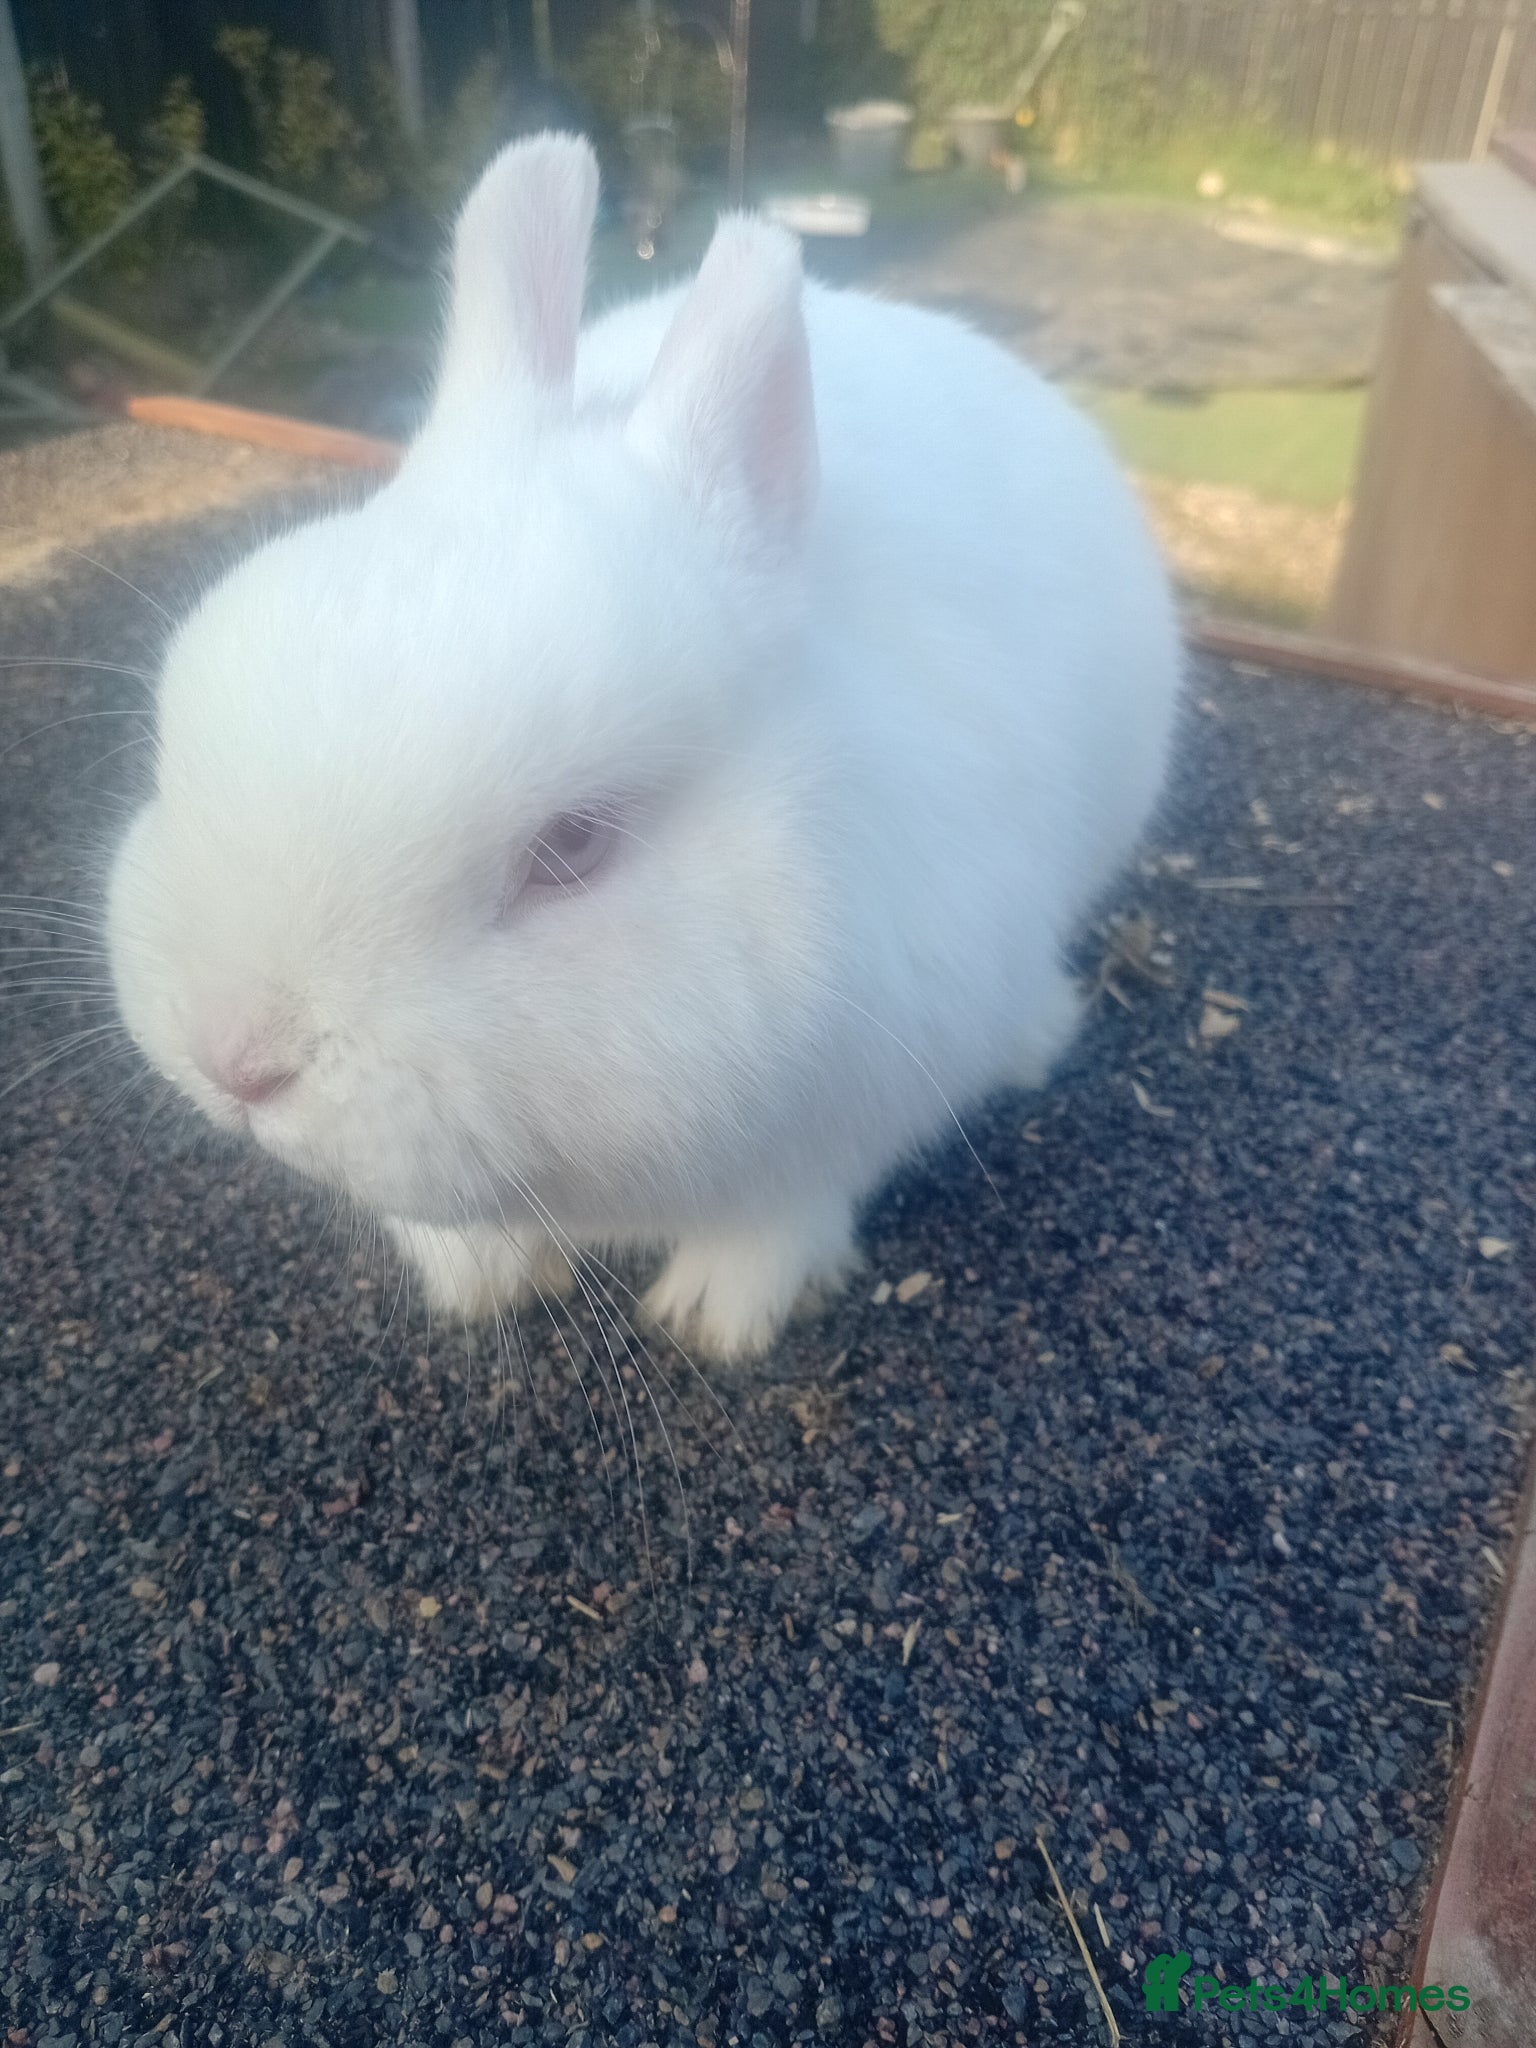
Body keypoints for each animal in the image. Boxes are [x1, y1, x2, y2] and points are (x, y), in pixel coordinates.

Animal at [106, 132, 1181, 1363]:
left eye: (573, 844)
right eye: (183, 715)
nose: (235, 1059)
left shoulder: (880, 1075)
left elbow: (786, 1207)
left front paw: (719, 1314)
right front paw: (477, 1275)